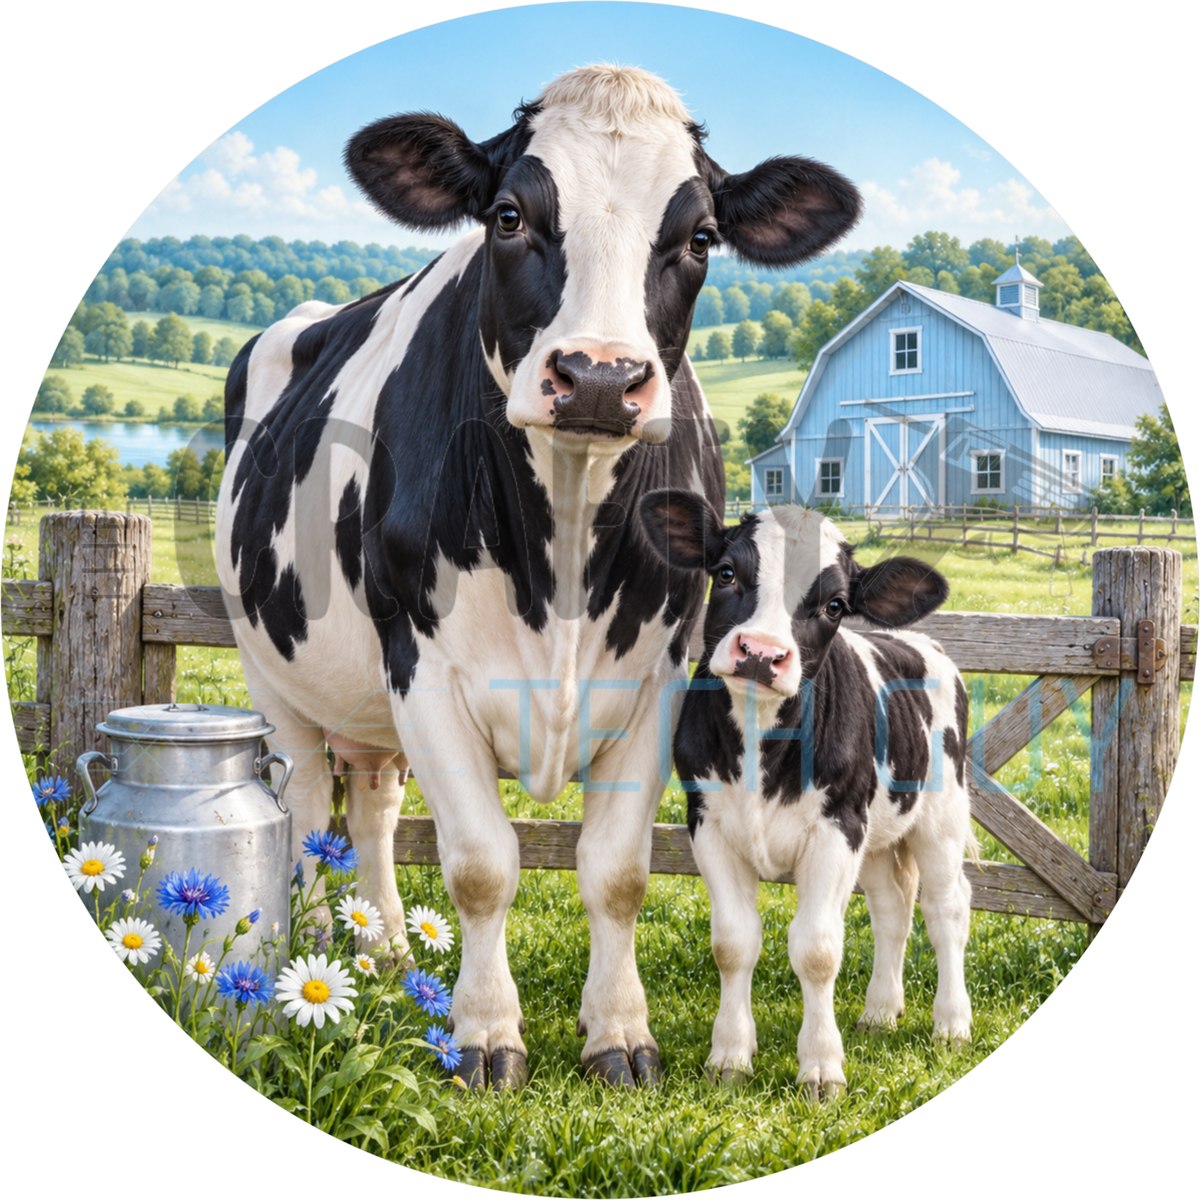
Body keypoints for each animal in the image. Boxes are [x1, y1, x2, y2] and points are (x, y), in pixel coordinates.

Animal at [215, 64, 861, 1090]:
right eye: (510, 215)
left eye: (700, 238)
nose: (599, 375)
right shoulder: (425, 669)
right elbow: (481, 864)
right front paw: (484, 1036)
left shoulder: (658, 678)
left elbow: (618, 873)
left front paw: (619, 1034)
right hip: (272, 674)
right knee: (311, 807)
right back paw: (317, 952)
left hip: (370, 714)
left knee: (374, 809)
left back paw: (384, 951)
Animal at [638, 493, 973, 1097]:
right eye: (727, 572)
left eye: (835, 605)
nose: (761, 652)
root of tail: (917, 639)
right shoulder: (708, 825)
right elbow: (733, 942)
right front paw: (730, 1056)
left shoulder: (836, 829)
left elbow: (817, 949)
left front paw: (820, 1067)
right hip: (877, 834)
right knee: (892, 907)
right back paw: (880, 1012)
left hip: (940, 816)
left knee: (946, 907)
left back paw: (952, 1022)